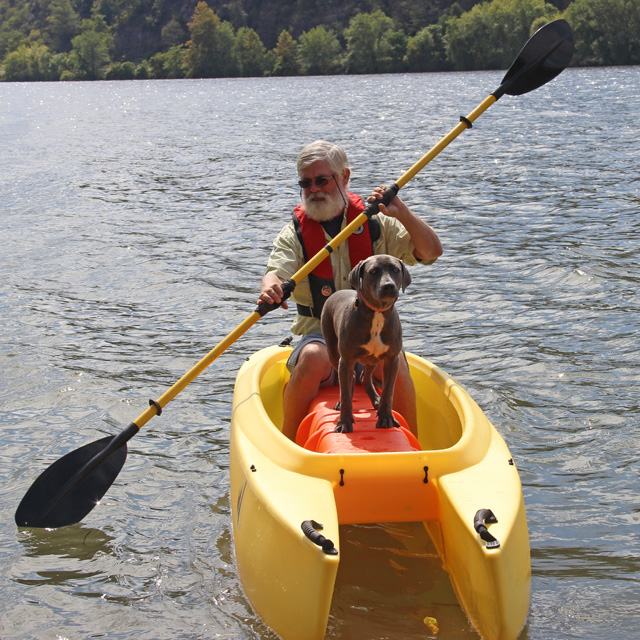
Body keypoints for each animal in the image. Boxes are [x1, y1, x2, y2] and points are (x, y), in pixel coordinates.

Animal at [322, 255, 412, 436]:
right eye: (373, 271)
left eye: (395, 270)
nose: (388, 286)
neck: (377, 313)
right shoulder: (346, 359)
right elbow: (345, 393)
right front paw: (344, 423)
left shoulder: (392, 359)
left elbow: (388, 392)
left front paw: (386, 418)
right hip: (334, 352)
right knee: (349, 380)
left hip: (372, 359)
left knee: (364, 377)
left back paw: (376, 400)